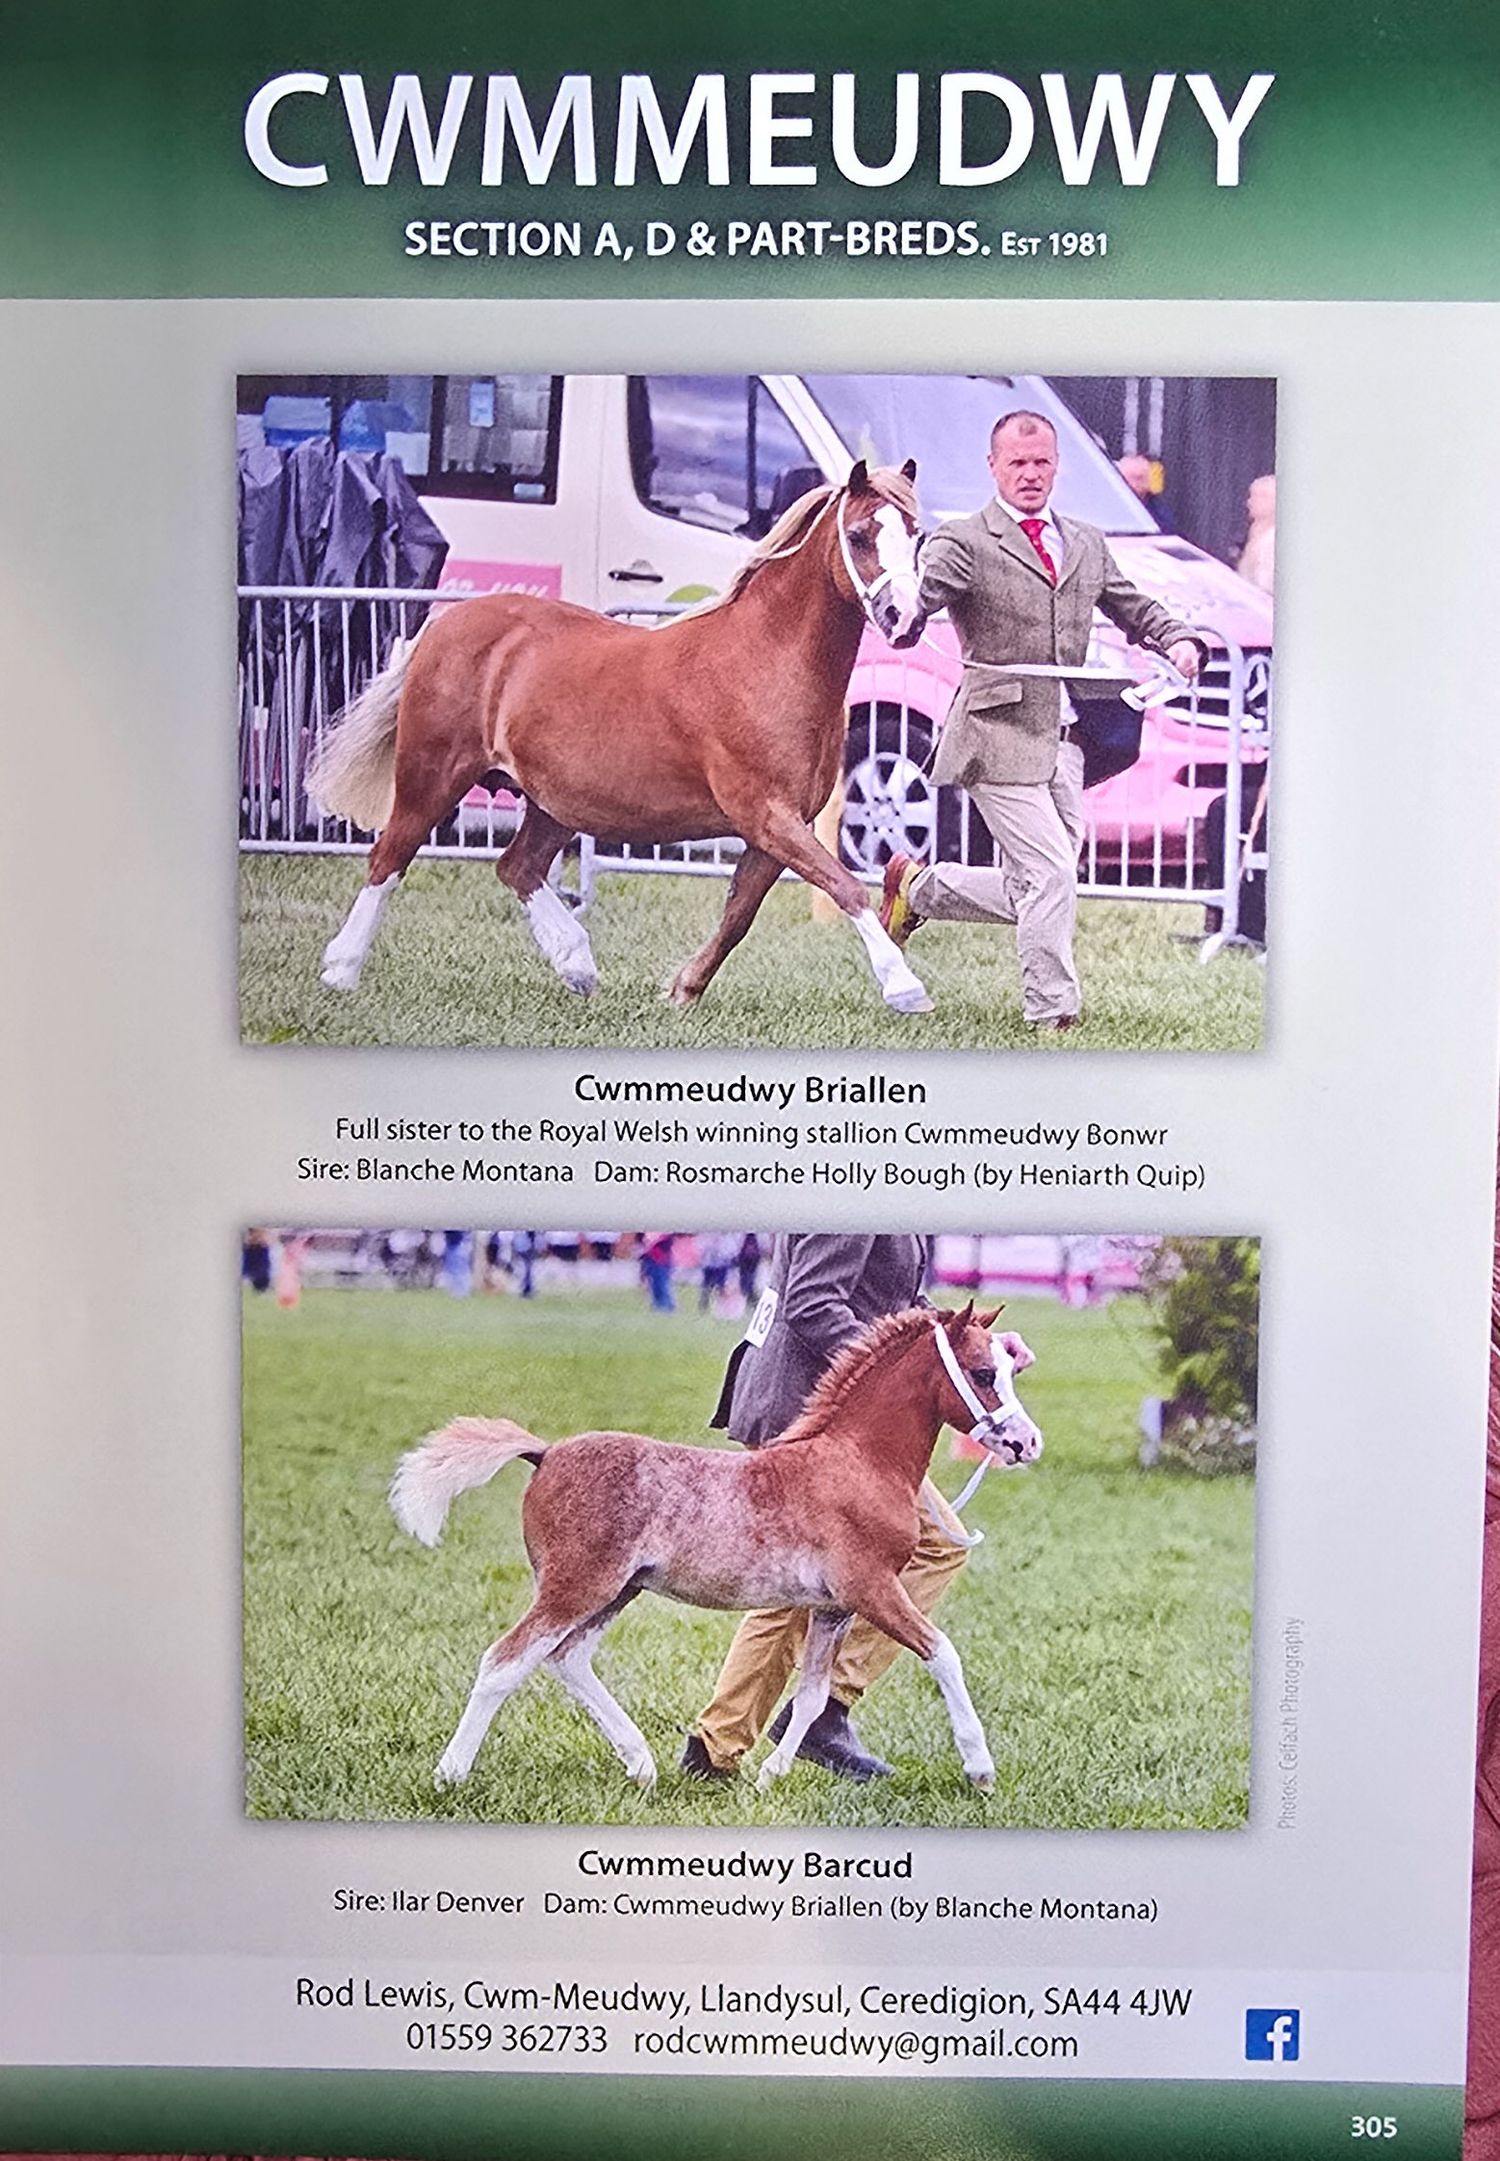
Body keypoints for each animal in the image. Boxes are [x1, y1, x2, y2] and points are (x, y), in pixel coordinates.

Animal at [307, 461, 935, 1015]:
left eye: (916, 535)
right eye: (858, 535)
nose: (905, 620)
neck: (766, 659)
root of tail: (442, 628)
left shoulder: (777, 828)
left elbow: (739, 916)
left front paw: (683, 989)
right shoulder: (765, 814)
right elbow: (846, 886)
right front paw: (904, 987)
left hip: (553, 802)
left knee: (516, 866)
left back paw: (577, 966)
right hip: (432, 775)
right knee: (389, 858)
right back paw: (341, 969)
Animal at [388, 1303, 1042, 1796]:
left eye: (1009, 1372)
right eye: (983, 1374)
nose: (1027, 1442)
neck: (857, 1463)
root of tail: (544, 1452)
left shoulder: (832, 1608)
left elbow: (811, 1697)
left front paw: (770, 1776)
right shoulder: (873, 1588)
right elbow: (944, 1654)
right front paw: (980, 1769)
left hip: (616, 1591)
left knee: (567, 1659)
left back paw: (641, 1763)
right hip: (576, 1585)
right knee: (505, 1661)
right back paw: (450, 1775)